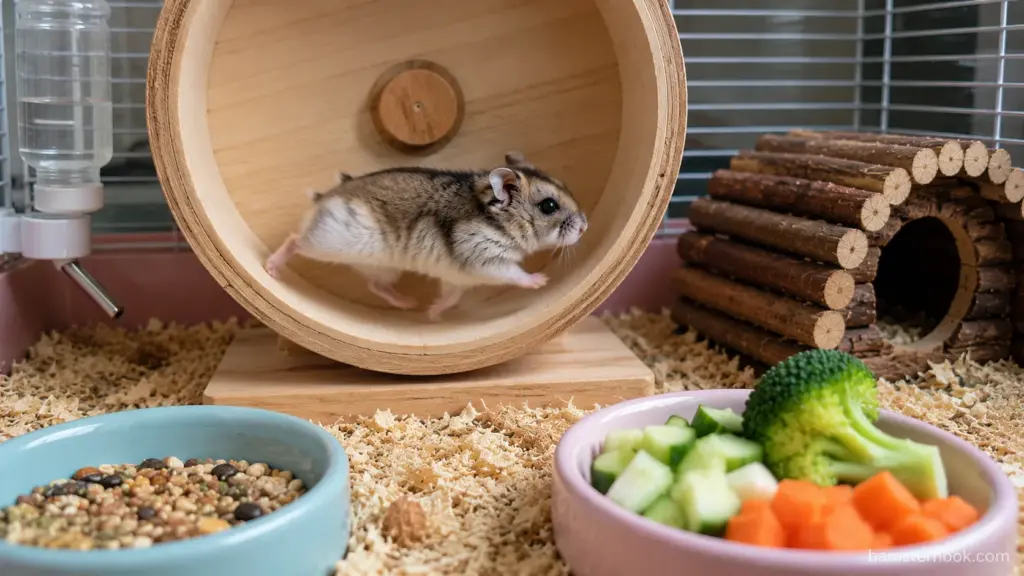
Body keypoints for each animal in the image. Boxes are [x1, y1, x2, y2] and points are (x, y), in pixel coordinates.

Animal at [263, 151, 588, 321]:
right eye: (549, 206)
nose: (585, 226)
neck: (501, 224)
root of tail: (322, 199)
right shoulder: (487, 261)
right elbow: (516, 274)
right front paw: (541, 280)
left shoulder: (457, 279)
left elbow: (450, 297)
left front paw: (432, 313)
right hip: (328, 243)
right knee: (294, 240)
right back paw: (271, 269)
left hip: (382, 267)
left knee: (375, 285)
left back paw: (409, 305)